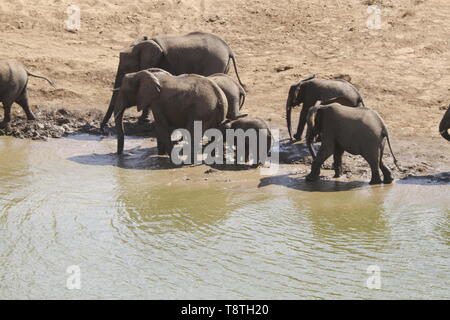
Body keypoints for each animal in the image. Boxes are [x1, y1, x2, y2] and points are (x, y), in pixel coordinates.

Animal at [101, 30, 244, 129]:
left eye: (126, 68)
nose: (103, 129)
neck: (143, 43)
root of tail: (229, 49)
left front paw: (141, 121)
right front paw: (143, 121)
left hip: (215, 61)